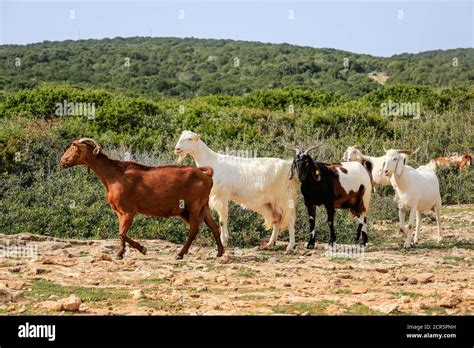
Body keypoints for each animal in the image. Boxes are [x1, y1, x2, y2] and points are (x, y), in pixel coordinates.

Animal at [59, 137, 224, 260]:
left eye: (74, 148)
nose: (62, 161)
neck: (113, 176)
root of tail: (206, 174)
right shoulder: (120, 212)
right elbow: (121, 233)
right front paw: (120, 254)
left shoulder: (128, 211)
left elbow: (121, 233)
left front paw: (142, 249)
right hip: (204, 205)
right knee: (214, 226)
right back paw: (220, 252)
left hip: (193, 206)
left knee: (194, 228)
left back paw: (180, 254)